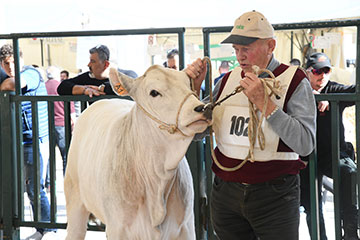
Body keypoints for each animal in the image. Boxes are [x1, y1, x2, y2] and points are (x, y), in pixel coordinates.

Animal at [64, 64, 212, 239]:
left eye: (189, 85)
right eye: (154, 92)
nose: (203, 108)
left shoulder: (186, 228)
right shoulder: (118, 229)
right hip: (74, 201)